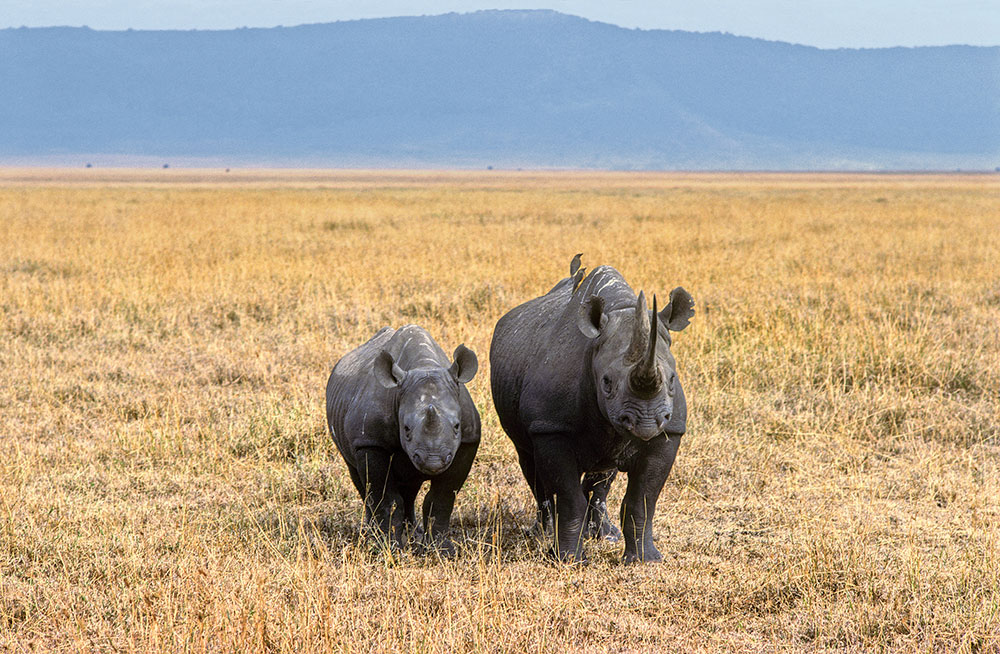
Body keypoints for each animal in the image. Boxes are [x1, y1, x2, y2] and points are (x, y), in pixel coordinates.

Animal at [326, 326, 482, 556]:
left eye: (456, 427)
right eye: (406, 429)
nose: (433, 461)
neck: (424, 366)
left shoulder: (467, 442)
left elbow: (441, 499)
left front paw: (442, 552)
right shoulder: (371, 441)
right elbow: (385, 498)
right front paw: (386, 549)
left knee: (410, 485)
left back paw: (413, 535)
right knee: (360, 480)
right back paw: (371, 535)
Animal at [488, 256, 692, 564]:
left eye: (671, 380)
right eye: (606, 382)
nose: (645, 422)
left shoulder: (669, 432)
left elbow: (644, 499)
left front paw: (645, 560)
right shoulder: (551, 428)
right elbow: (569, 498)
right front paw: (567, 561)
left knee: (602, 474)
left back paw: (604, 535)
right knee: (530, 462)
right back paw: (543, 533)